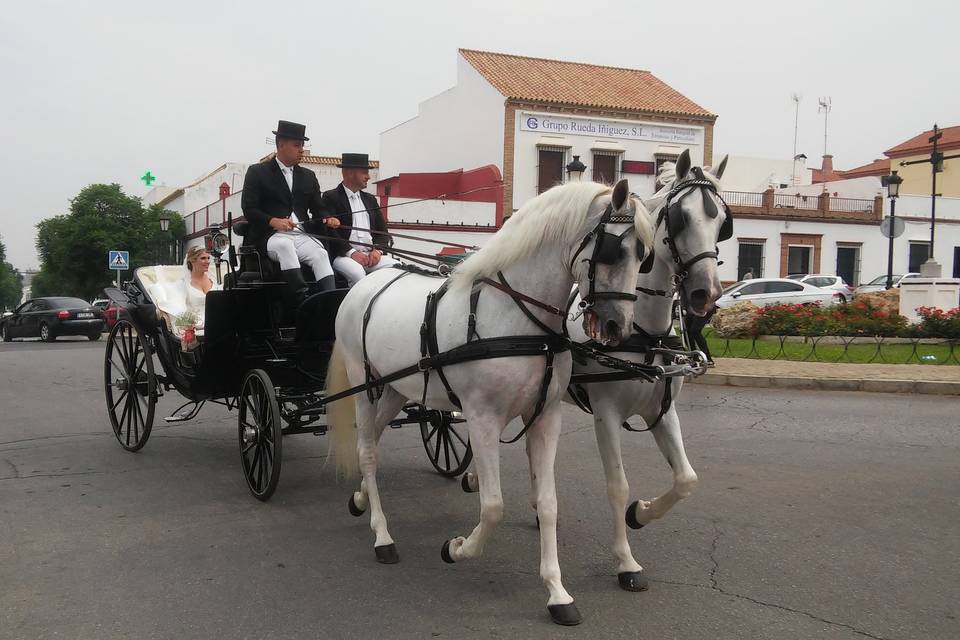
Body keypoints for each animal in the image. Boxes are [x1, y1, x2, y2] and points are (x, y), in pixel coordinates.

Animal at [328, 180, 652, 624]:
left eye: (643, 255)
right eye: (613, 250)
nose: (618, 327)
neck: (515, 317)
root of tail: (363, 283)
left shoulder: (545, 418)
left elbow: (548, 503)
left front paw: (557, 592)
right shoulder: (482, 419)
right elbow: (494, 505)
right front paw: (458, 548)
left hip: (395, 390)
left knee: (372, 443)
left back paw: (361, 497)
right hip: (364, 385)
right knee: (366, 451)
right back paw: (382, 535)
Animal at [564, 150, 728, 592]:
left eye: (723, 221)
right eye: (681, 218)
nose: (706, 293)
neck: (643, 332)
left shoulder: (662, 410)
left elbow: (686, 479)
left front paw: (640, 513)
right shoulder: (606, 413)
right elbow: (617, 486)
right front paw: (625, 562)